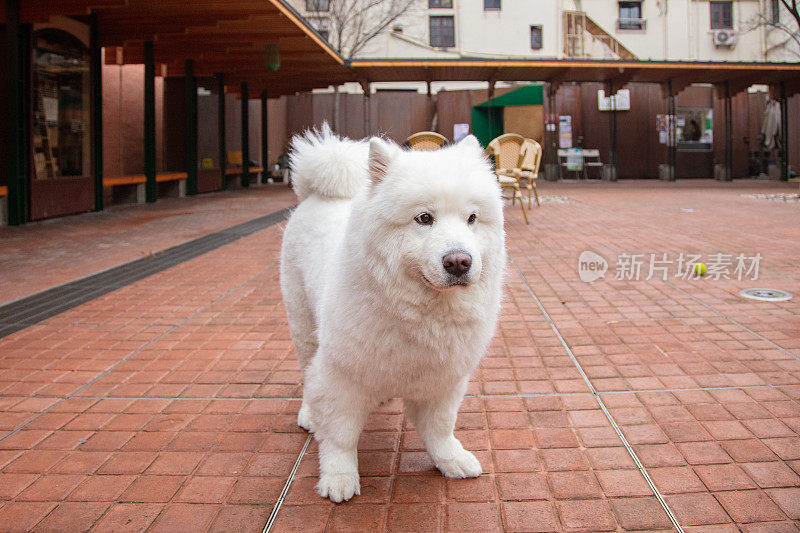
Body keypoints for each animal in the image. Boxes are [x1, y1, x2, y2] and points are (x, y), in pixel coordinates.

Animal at [282, 125, 504, 502]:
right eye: (424, 218)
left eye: (472, 219)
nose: (459, 261)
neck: (420, 314)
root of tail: (320, 195)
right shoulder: (342, 374)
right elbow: (340, 434)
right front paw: (339, 478)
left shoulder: (443, 379)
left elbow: (440, 428)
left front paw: (452, 460)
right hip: (303, 325)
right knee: (308, 371)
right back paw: (308, 415)